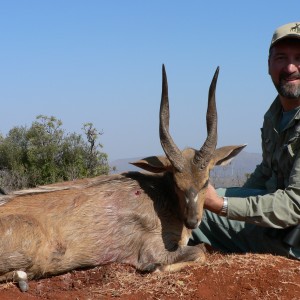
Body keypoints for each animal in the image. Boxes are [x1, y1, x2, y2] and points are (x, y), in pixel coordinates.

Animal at [0, 65, 245, 290]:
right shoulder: (152, 249)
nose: (192, 221)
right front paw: (155, 268)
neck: (164, 199)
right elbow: (198, 252)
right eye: (177, 183)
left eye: (205, 182)